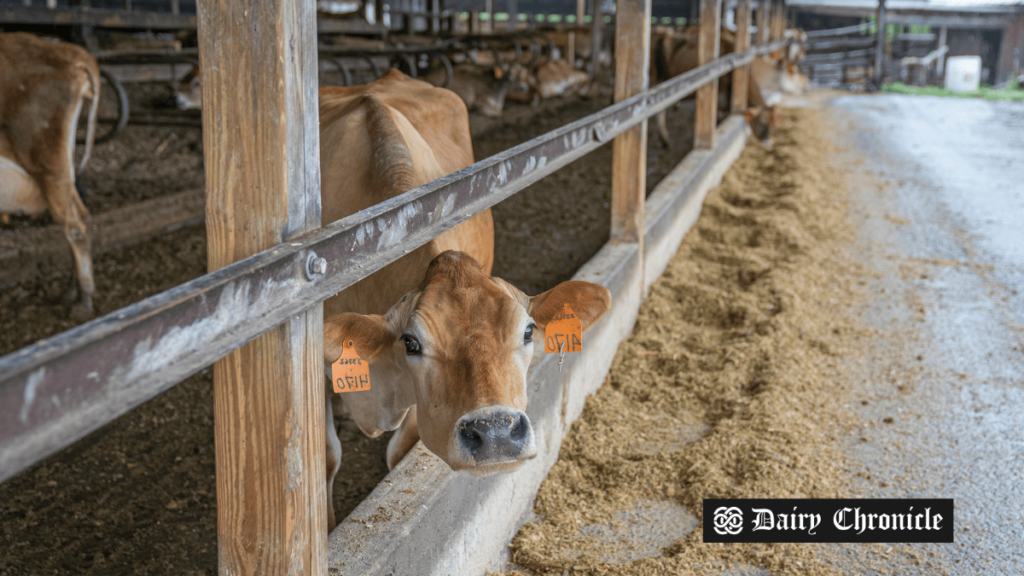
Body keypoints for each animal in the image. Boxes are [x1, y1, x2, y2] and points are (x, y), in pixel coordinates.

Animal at [1, 31, 99, 313]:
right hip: (61, 167)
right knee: (80, 217)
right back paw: (72, 291)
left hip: (47, 165)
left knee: (75, 225)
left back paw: (85, 300)